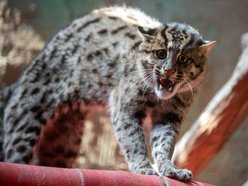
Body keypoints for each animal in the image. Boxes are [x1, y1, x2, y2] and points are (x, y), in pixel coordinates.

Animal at [0, 6, 215, 182]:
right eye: (160, 53)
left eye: (184, 59)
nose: (168, 71)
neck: (158, 98)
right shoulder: (125, 108)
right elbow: (133, 141)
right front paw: (143, 168)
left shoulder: (170, 116)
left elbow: (164, 144)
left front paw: (170, 169)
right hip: (27, 118)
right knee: (14, 156)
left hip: (63, 141)